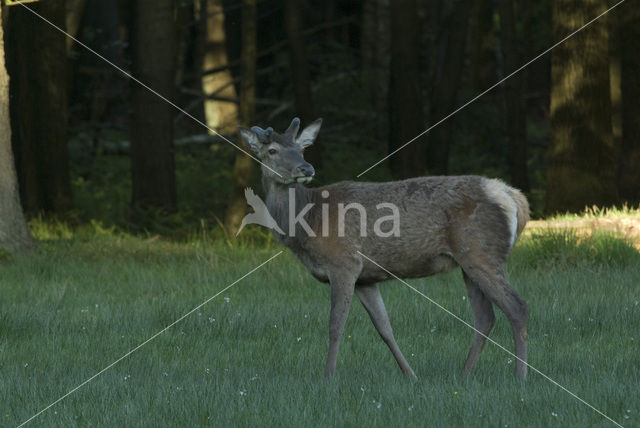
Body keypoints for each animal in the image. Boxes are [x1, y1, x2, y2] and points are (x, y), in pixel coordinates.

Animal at [239, 116, 528, 378]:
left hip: (482, 253)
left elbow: (336, 324)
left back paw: (519, 377)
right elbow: (384, 327)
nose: (305, 168)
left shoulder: (344, 262)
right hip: (468, 262)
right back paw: (465, 374)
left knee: (517, 307)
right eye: (272, 151)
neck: (308, 222)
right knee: (485, 317)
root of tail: (512, 196)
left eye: (301, 149)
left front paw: (328, 376)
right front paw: (410, 375)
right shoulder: (366, 278)